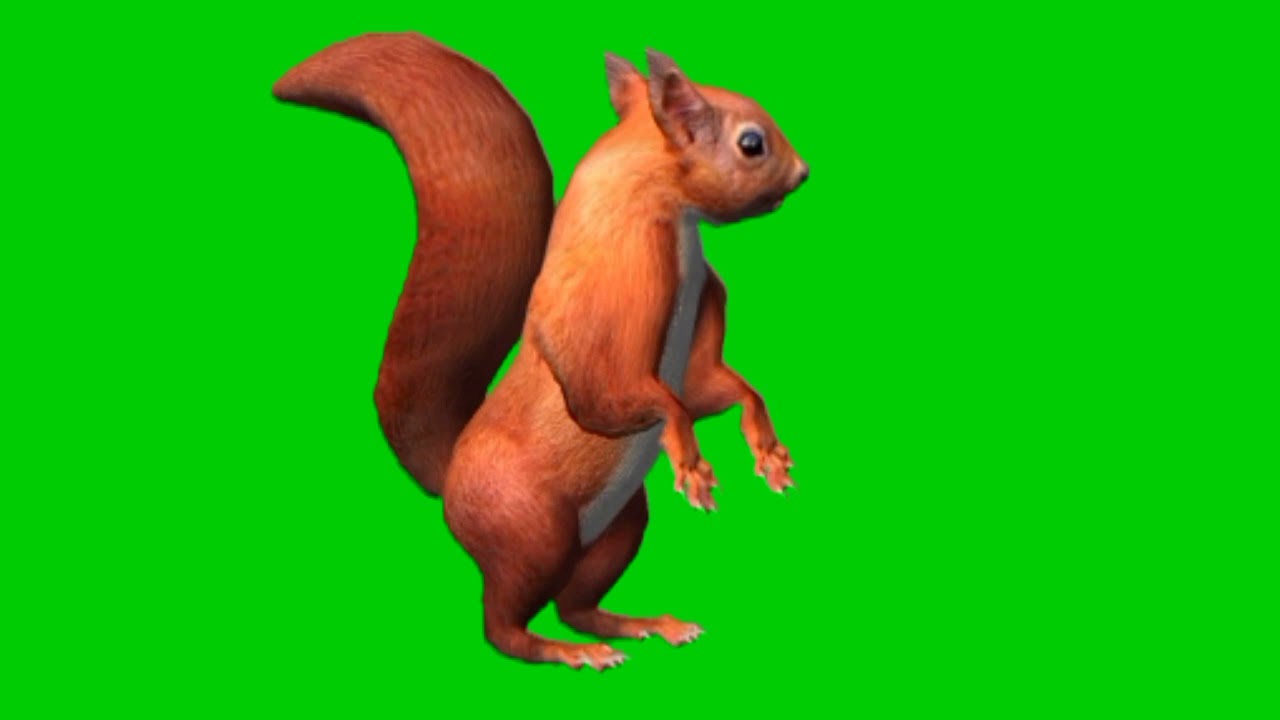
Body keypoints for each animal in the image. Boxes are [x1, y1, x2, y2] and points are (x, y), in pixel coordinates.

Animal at [273, 32, 810, 671]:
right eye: (751, 143)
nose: (803, 172)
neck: (661, 215)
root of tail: (451, 477)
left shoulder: (700, 333)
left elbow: (721, 389)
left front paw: (768, 451)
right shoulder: (605, 317)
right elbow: (627, 397)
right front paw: (692, 466)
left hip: (619, 528)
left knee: (576, 605)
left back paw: (644, 624)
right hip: (532, 529)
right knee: (505, 629)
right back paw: (571, 652)